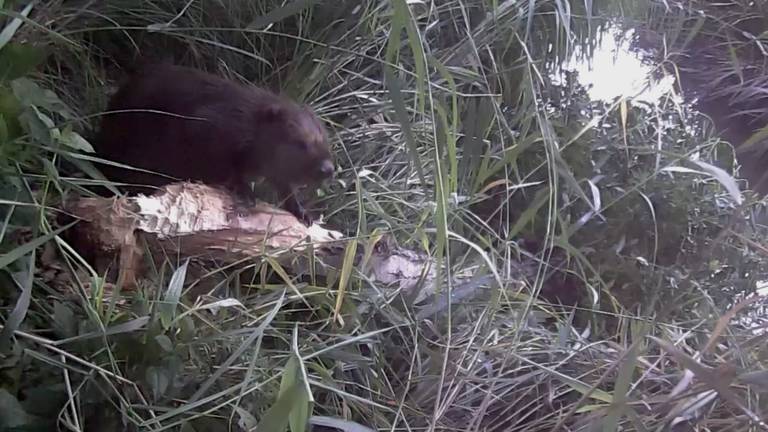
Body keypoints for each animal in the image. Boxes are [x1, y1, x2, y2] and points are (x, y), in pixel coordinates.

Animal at [93, 62, 332, 224]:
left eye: (325, 139)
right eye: (301, 142)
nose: (328, 168)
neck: (248, 118)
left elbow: (283, 183)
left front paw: (303, 213)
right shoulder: (211, 125)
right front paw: (245, 193)